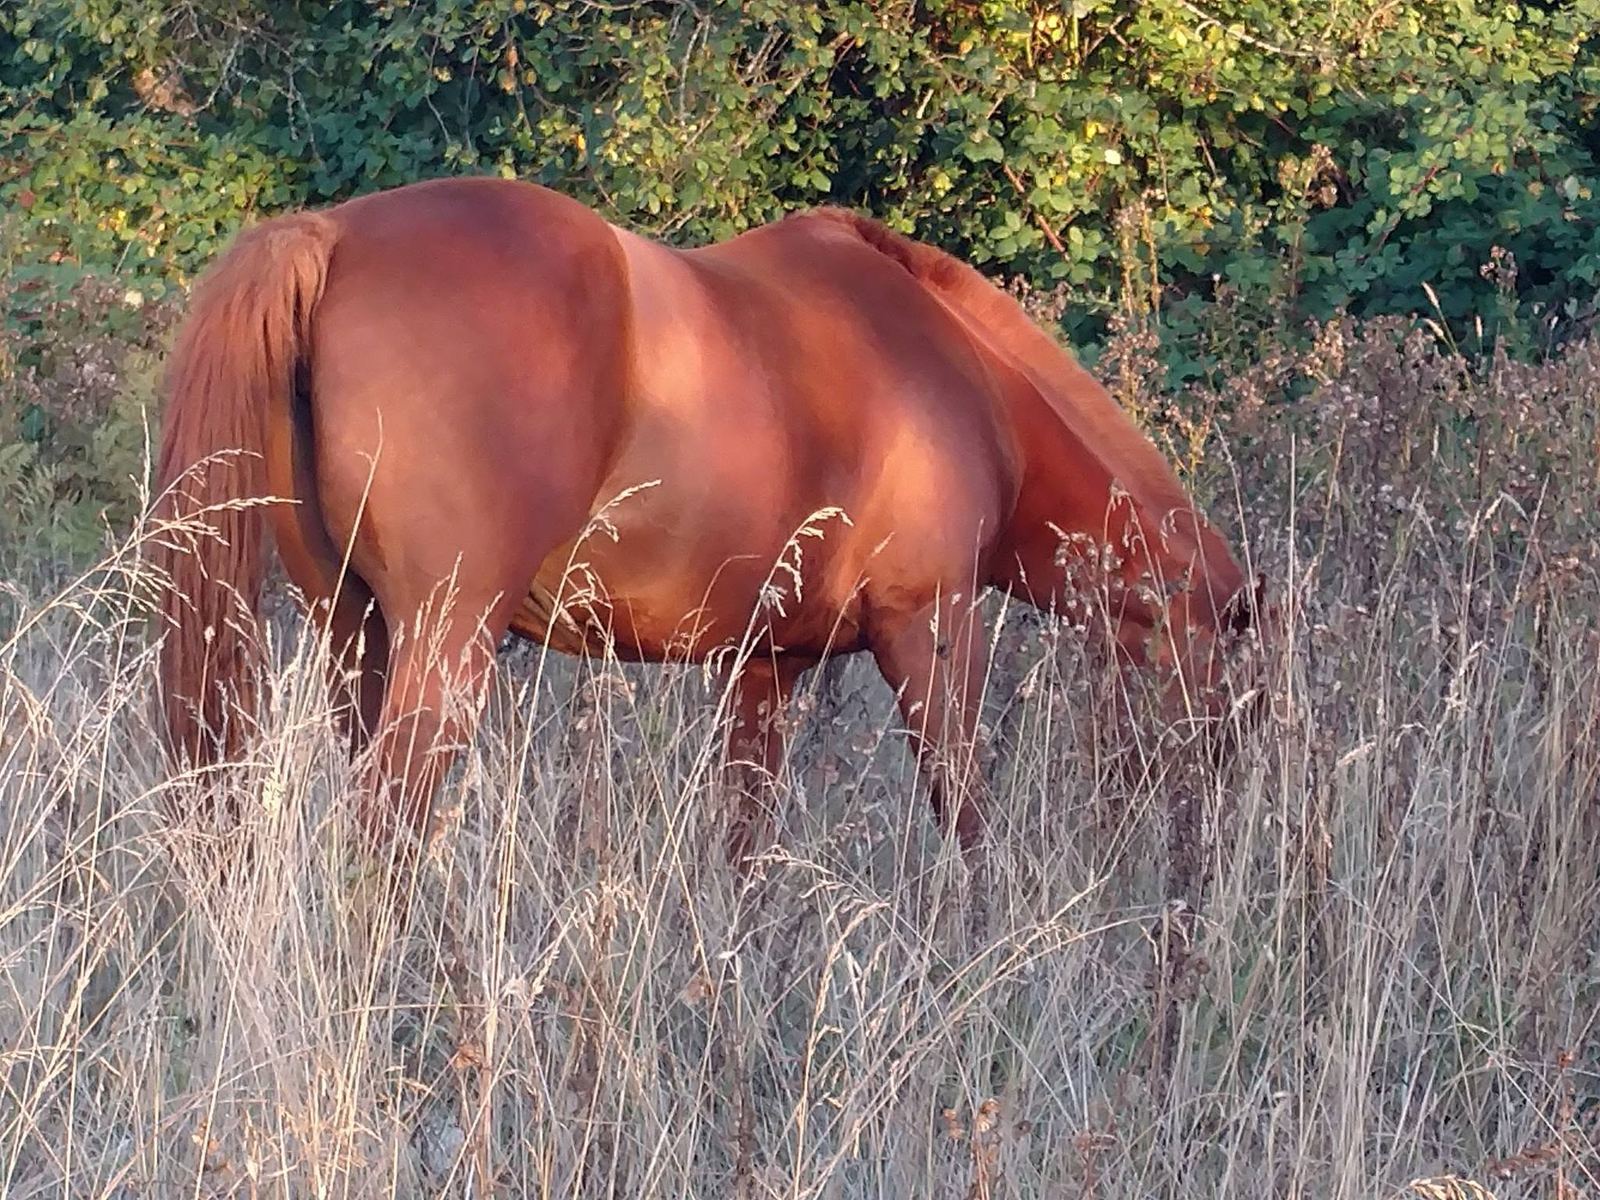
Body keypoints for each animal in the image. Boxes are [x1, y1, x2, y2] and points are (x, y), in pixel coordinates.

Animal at [152, 176, 1263, 860]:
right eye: (1223, 682)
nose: (1206, 845)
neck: (962, 378)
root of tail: (333, 236)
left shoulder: (764, 670)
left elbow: (748, 867)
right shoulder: (931, 631)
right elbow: (968, 830)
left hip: (355, 636)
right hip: (444, 642)